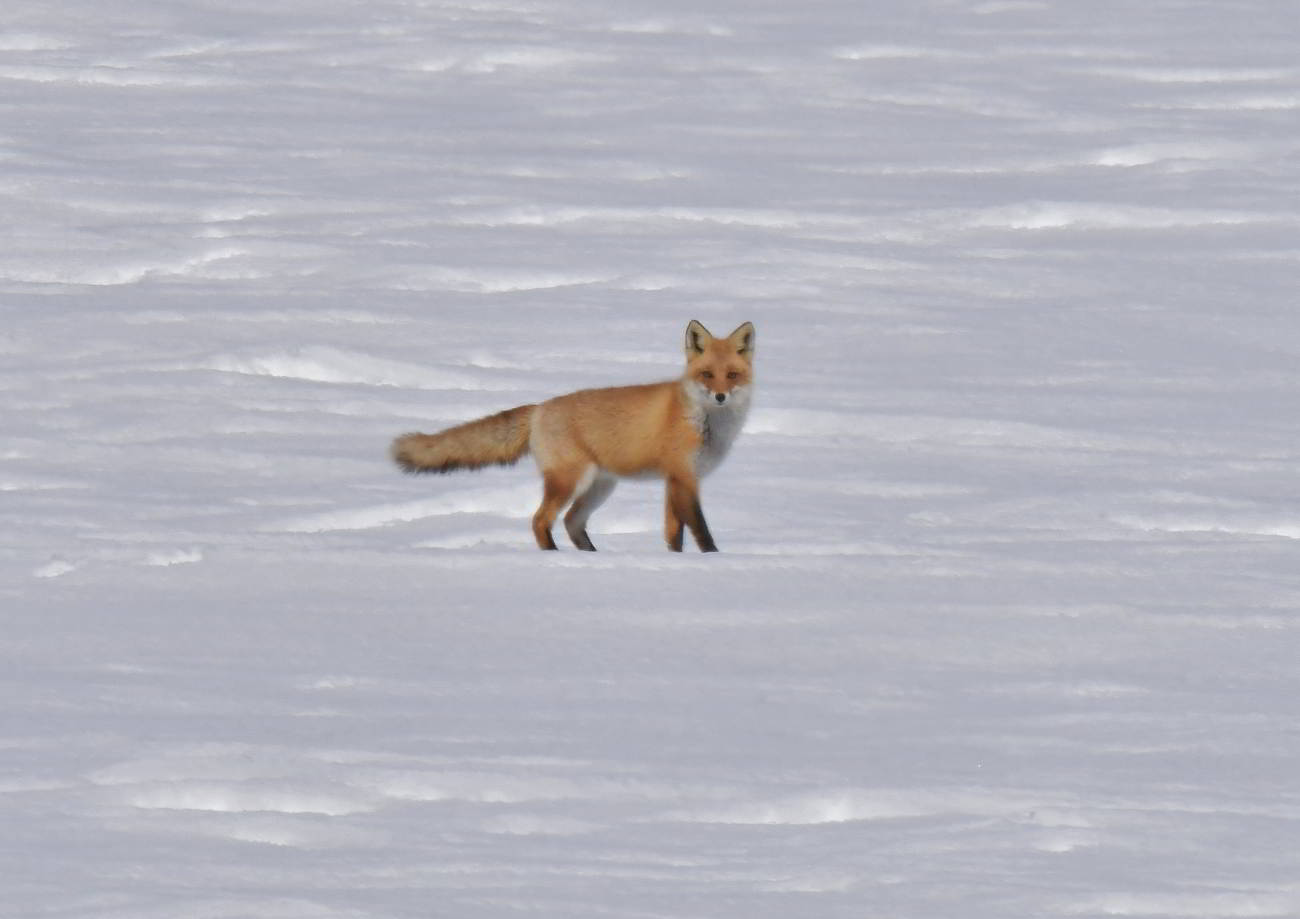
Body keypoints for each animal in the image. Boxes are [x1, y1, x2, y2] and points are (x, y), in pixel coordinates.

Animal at [390, 322, 759, 553]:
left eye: (732, 375)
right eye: (707, 375)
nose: (720, 397)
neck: (704, 422)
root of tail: (539, 408)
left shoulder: (676, 480)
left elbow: (673, 534)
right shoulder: (683, 476)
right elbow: (700, 529)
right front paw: (714, 559)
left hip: (600, 486)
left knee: (571, 522)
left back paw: (591, 556)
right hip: (570, 480)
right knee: (541, 520)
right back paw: (555, 556)